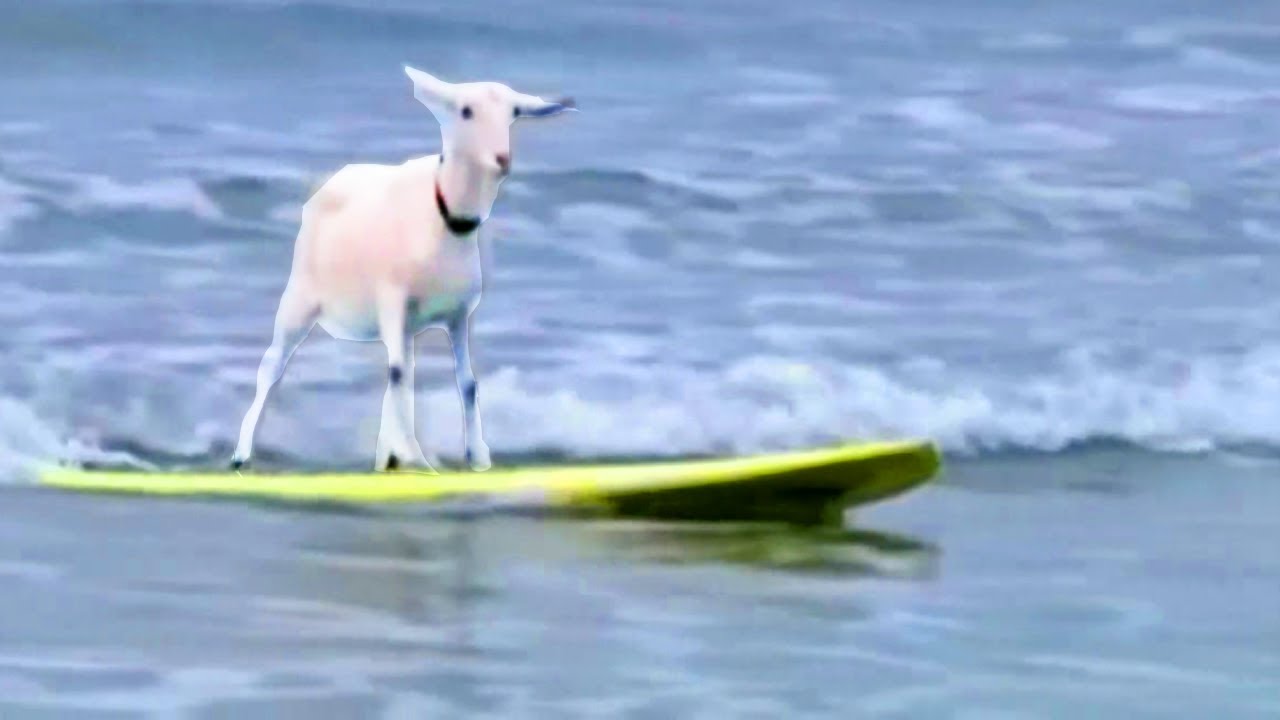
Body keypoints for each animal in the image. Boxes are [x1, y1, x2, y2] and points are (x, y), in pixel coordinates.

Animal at [231, 64, 576, 474]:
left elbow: (466, 382)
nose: (502, 159)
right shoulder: (392, 300)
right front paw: (417, 458)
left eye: (515, 113)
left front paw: (476, 457)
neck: (444, 220)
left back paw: (387, 457)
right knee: (272, 366)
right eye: (465, 111)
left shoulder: (458, 315)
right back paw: (241, 455)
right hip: (300, 297)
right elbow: (399, 376)